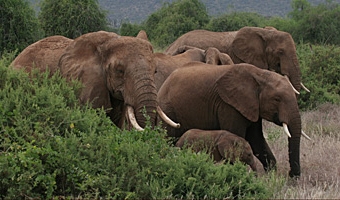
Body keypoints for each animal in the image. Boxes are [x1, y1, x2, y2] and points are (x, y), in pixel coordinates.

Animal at [157, 62, 310, 177]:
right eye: (277, 99)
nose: (292, 175)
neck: (260, 75)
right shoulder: (228, 105)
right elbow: (237, 135)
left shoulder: (251, 106)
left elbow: (256, 139)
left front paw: (271, 177)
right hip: (167, 109)